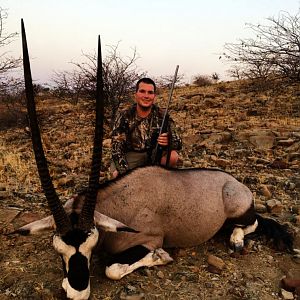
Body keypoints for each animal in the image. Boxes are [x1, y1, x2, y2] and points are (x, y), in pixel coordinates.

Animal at [18, 19, 292, 298]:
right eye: (58, 250)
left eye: (91, 246)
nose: (78, 292)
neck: (118, 205)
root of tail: (235, 183)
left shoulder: (148, 239)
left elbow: (112, 268)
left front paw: (161, 257)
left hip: (239, 212)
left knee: (252, 222)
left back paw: (236, 241)